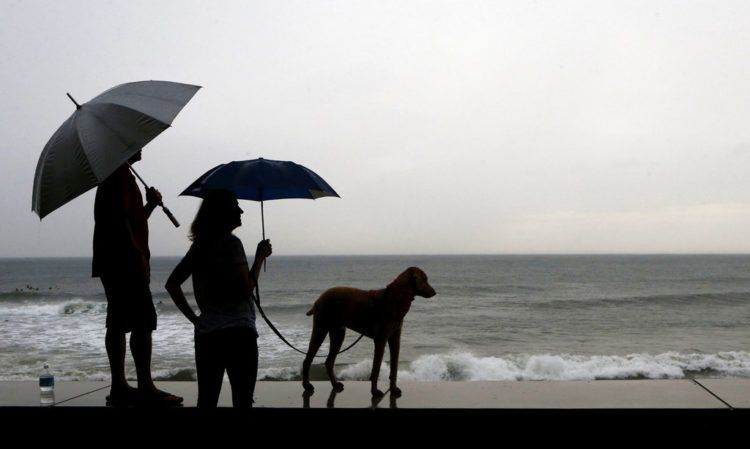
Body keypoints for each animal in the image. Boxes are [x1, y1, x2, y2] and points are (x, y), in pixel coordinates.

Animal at [302, 266, 438, 396]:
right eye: (424, 279)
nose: (434, 292)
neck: (395, 298)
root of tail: (319, 298)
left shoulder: (395, 339)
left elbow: (394, 367)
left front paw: (393, 389)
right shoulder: (380, 340)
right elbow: (376, 368)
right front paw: (375, 392)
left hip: (338, 333)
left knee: (329, 361)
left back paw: (335, 384)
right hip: (321, 328)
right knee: (307, 360)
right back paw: (307, 385)